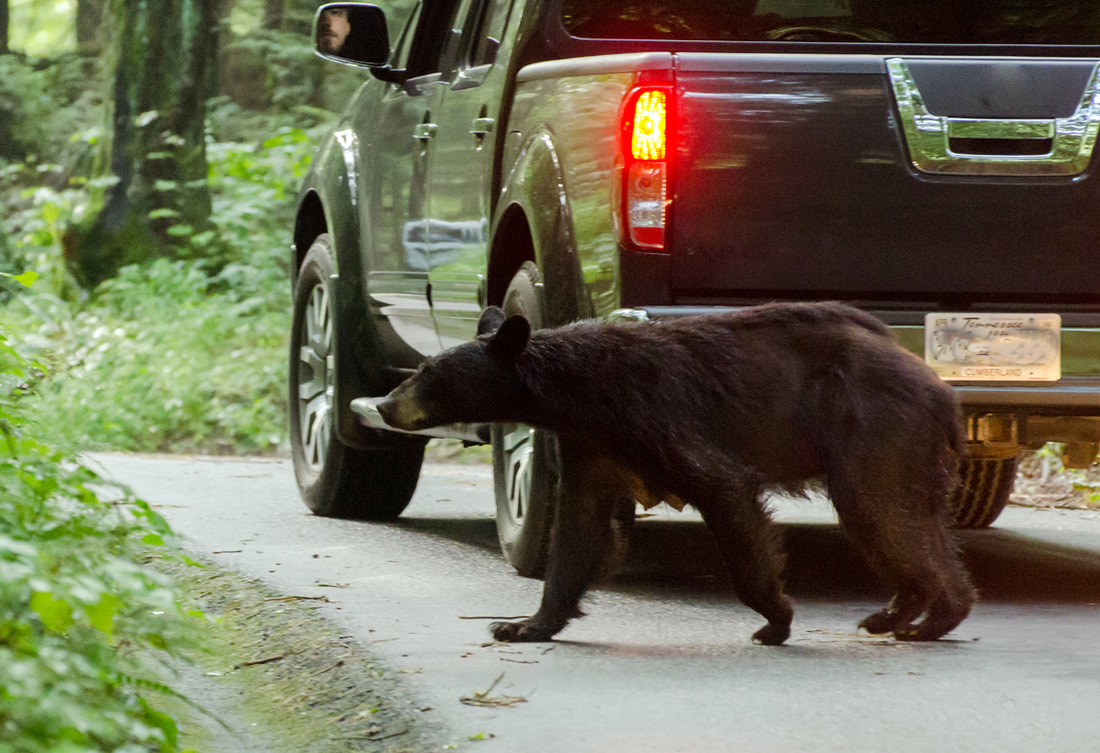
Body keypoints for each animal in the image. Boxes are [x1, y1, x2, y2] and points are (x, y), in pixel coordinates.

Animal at [376, 303, 972, 641]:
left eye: (427, 372)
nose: (383, 404)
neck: (579, 394)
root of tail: (942, 388)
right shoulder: (592, 445)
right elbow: (578, 528)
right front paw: (525, 623)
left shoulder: (659, 416)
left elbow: (724, 489)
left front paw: (775, 618)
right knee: (906, 522)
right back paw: (910, 614)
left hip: (875, 428)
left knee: (880, 511)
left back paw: (923, 617)